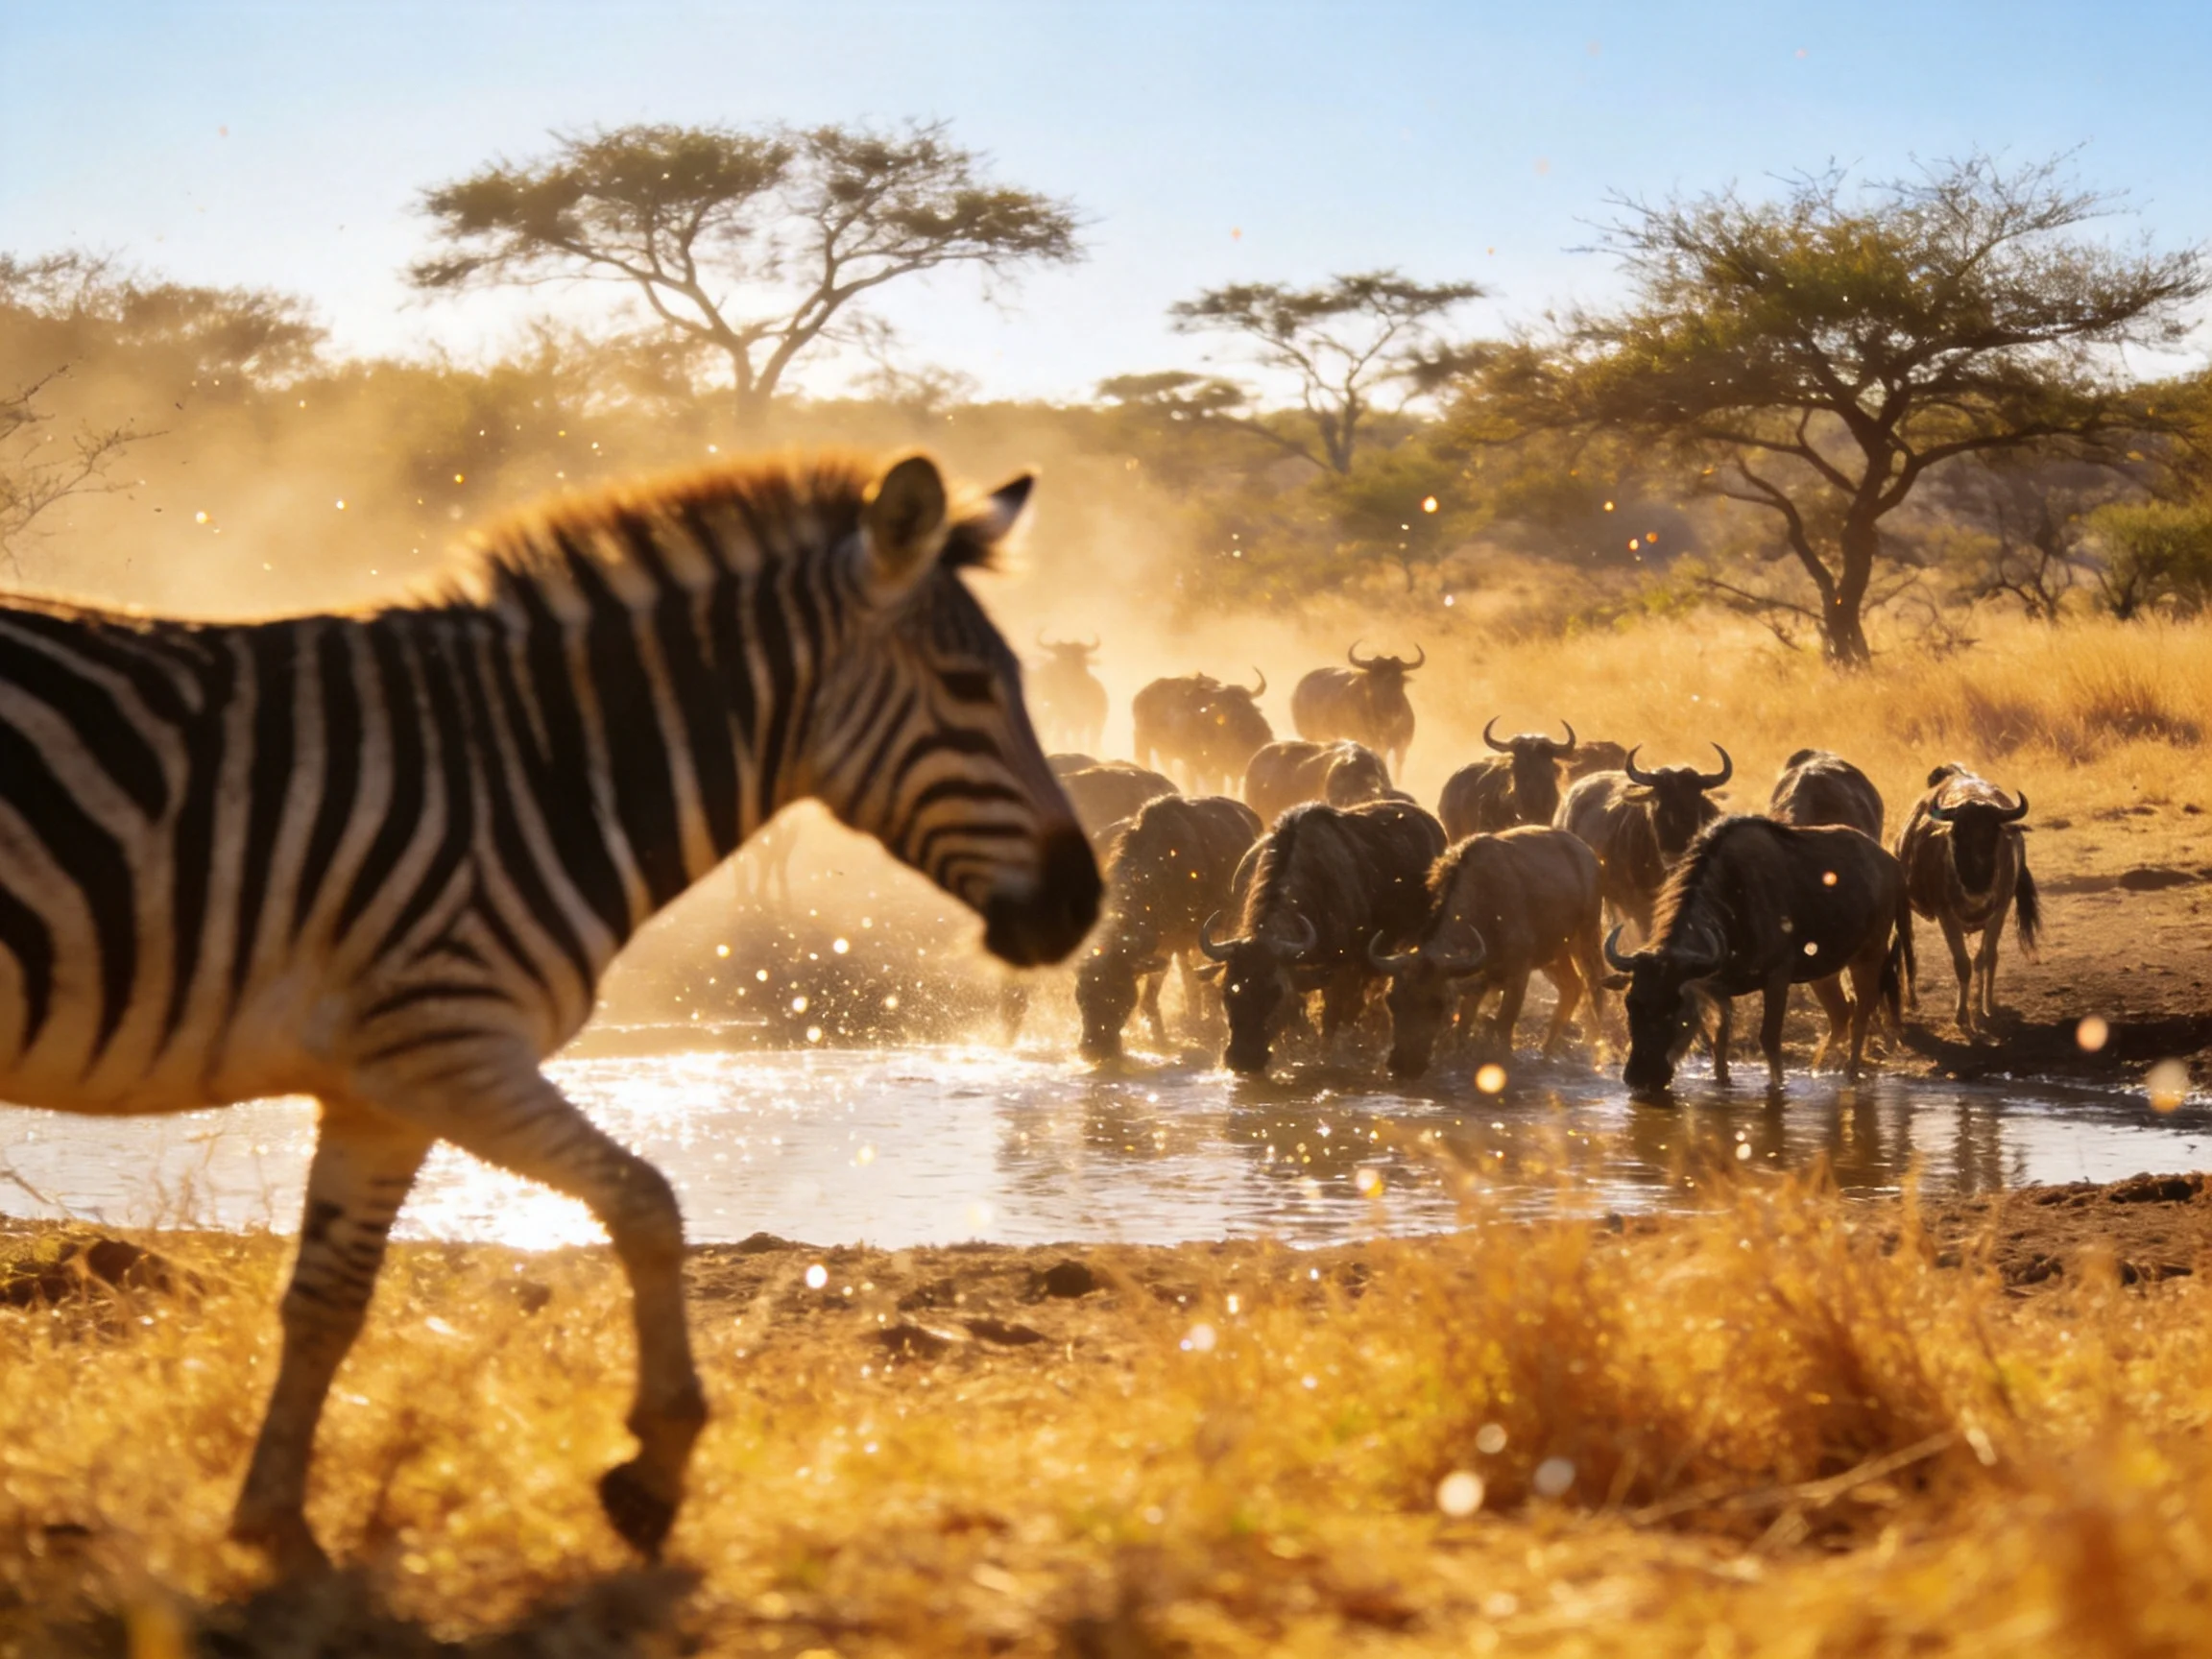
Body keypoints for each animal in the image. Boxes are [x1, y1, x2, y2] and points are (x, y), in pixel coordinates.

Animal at [0, 449, 1100, 1572]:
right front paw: (654, 1468)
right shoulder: (448, 1036)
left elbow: (327, 1300)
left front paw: (278, 1525)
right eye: (969, 688)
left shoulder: (380, 1086)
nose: (1081, 905)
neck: (549, 769)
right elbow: (649, 1205)